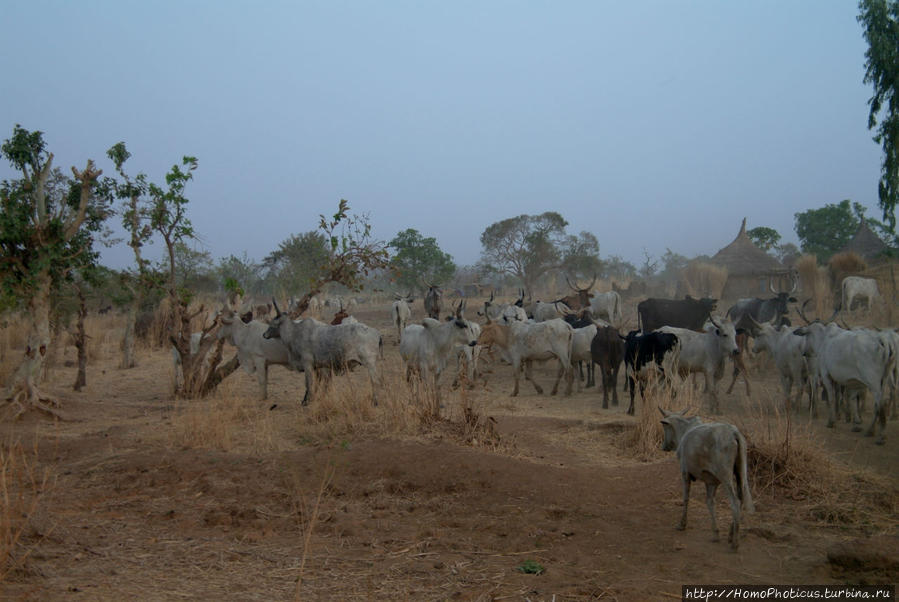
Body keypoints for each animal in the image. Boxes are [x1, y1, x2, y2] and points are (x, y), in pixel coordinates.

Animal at [656, 408, 756, 548]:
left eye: (665, 427)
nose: (663, 446)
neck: (685, 430)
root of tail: (733, 433)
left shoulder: (685, 473)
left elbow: (686, 498)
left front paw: (682, 524)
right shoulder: (711, 481)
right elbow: (710, 502)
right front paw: (715, 533)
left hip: (725, 476)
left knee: (735, 502)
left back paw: (734, 543)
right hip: (740, 473)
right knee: (741, 499)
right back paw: (731, 534)